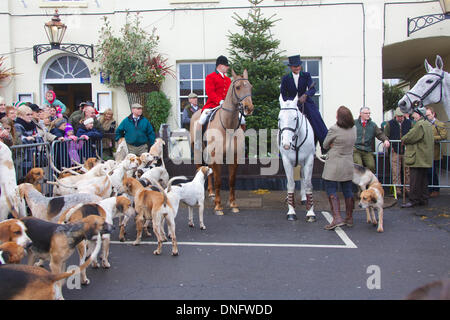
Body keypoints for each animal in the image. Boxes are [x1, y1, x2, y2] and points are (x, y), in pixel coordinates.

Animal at [190, 69, 253, 215]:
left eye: (250, 87)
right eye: (238, 87)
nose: (249, 107)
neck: (228, 124)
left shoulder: (233, 156)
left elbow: (231, 180)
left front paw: (233, 204)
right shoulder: (217, 155)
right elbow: (218, 180)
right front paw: (218, 207)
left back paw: (211, 193)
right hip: (197, 151)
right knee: (199, 168)